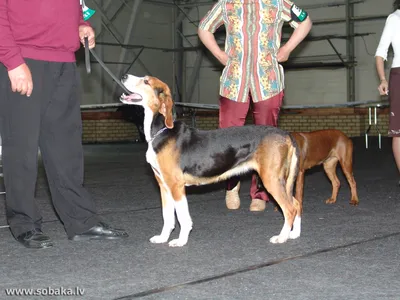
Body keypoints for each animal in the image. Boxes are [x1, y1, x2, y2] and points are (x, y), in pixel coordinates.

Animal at [120, 74, 302, 246]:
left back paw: (282, 237)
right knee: (297, 204)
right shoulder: (163, 185)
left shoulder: (176, 186)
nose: (123, 76)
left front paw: (181, 241)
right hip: (280, 180)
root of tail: (285, 134)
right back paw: (294, 234)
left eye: (146, 81)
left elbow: (183, 217)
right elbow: (168, 217)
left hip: (271, 179)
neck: (161, 131)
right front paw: (163, 238)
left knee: (289, 209)